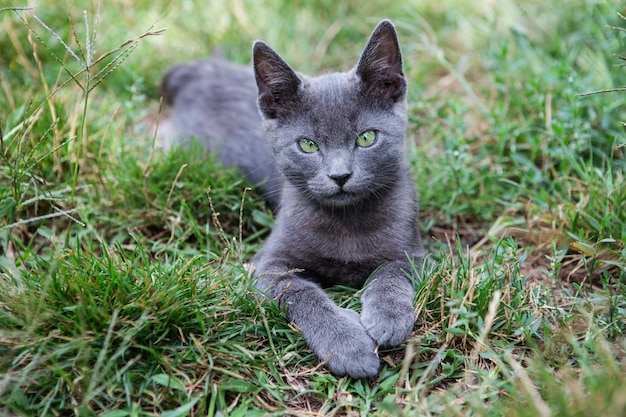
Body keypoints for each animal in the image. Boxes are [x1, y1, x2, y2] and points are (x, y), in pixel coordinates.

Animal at [160, 20, 424, 376]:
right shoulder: (267, 265)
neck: (346, 222)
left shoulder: (415, 250)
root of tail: (199, 69)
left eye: (367, 138)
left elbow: (393, 270)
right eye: (308, 145)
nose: (340, 176)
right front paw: (348, 346)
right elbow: (300, 292)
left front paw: (388, 318)